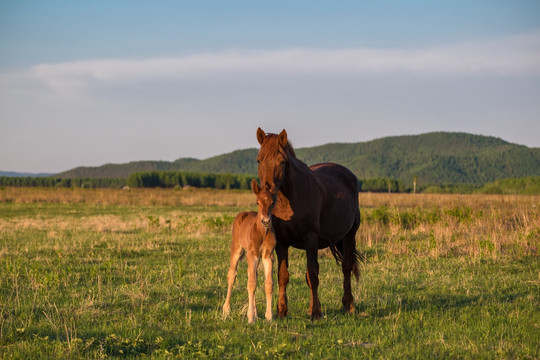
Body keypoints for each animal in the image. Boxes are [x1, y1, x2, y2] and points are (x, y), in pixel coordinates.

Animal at [221, 179, 276, 322]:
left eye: (272, 202)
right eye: (257, 202)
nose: (266, 221)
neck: (262, 232)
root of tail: (242, 214)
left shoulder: (268, 255)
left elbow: (268, 283)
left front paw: (269, 316)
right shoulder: (252, 253)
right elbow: (251, 283)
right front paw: (250, 318)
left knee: (252, 273)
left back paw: (256, 312)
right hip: (237, 248)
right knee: (232, 274)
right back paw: (226, 309)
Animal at [256, 128, 364, 320]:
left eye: (282, 162)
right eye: (259, 160)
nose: (267, 195)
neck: (288, 201)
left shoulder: (310, 238)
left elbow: (312, 274)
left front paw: (315, 312)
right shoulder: (281, 242)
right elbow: (283, 275)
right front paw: (281, 310)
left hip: (349, 236)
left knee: (346, 268)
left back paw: (348, 305)